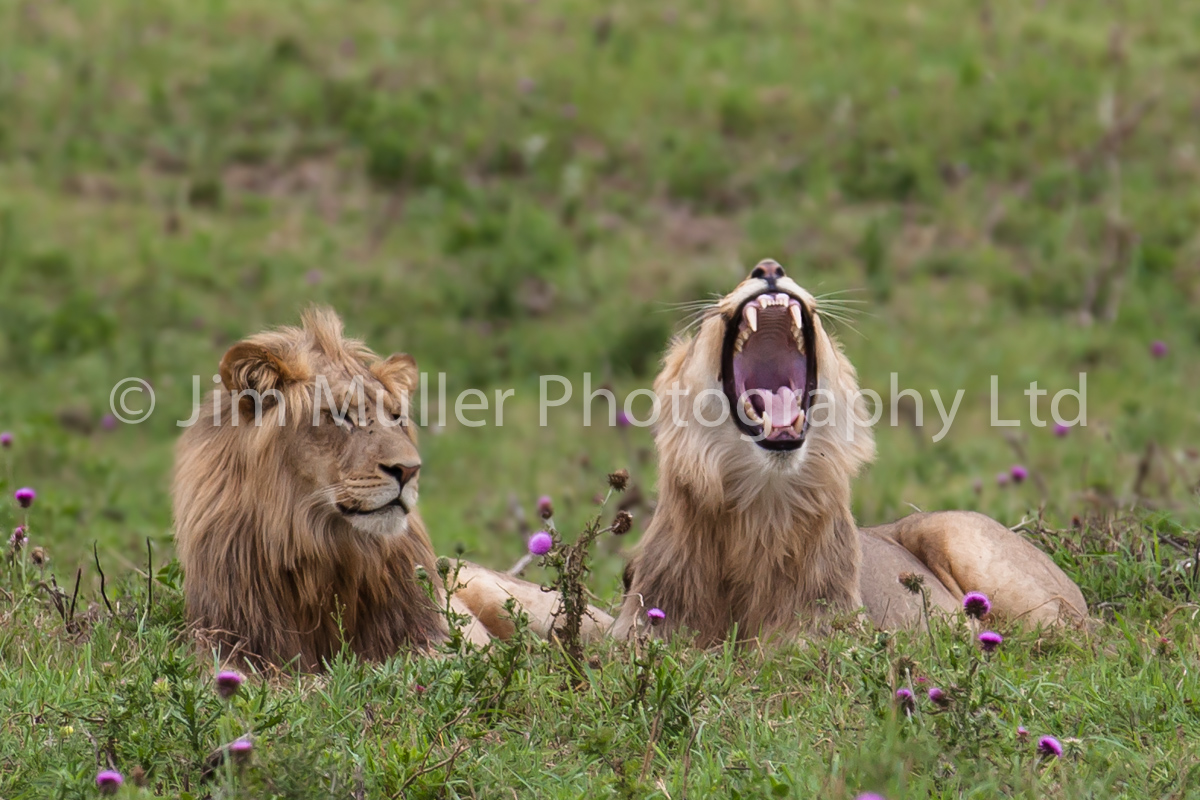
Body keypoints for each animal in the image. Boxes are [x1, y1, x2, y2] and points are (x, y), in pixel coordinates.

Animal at [174, 307, 614, 671]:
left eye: (397, 416)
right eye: (340, 415)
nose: (409, 470)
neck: (321, 553)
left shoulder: (439, 642)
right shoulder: (236, 653)